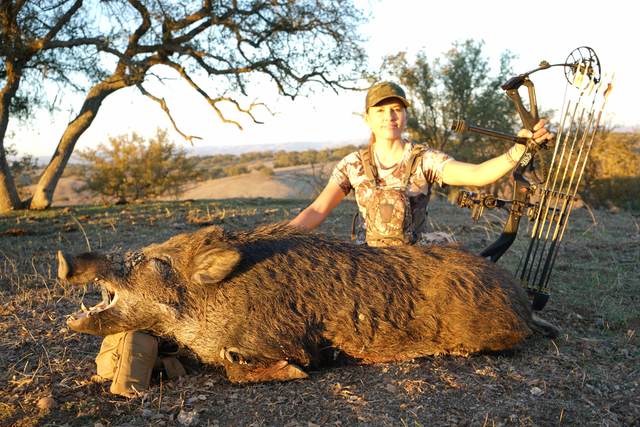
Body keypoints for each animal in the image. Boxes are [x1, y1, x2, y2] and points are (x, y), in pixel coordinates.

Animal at [58, 223, 558, 383]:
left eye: (159, 261)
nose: (67, 258)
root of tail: (524, 302)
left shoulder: (284, 339)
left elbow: (237, 368)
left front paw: (293, 373)